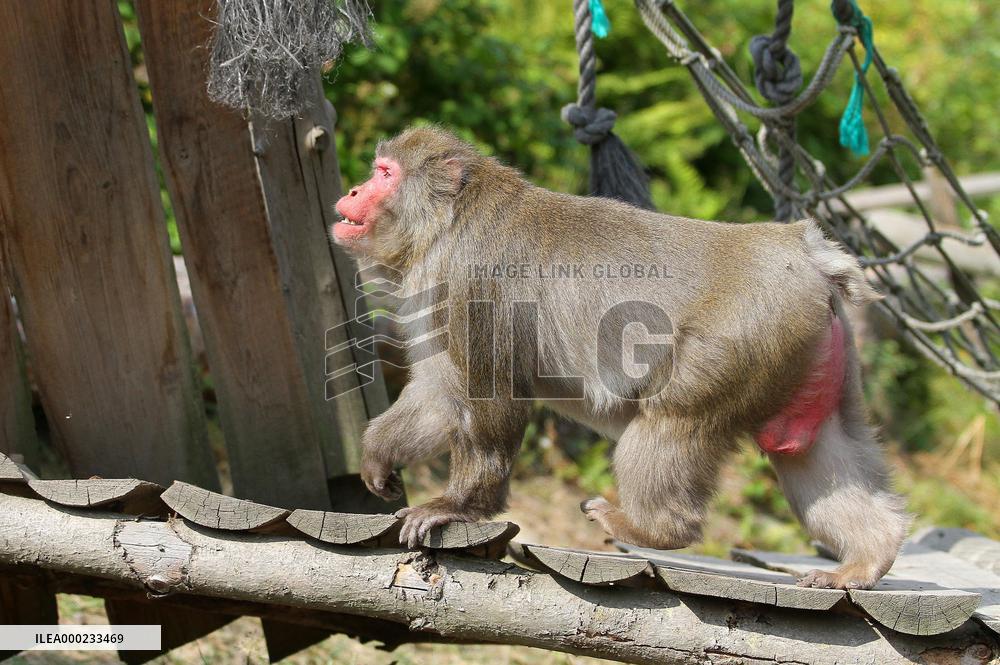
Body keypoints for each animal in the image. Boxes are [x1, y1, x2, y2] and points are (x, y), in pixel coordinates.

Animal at [331, 125, 908, 590]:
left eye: (384, 174)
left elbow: (491, 396)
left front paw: (458, 508)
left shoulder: (466, 280)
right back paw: (868, 559)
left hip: (748, 330)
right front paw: (378, 454)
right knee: (813, 448)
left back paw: (653, 527)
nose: (354, 190)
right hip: (807, 352)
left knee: (674, 419)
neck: (447, 223)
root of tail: (804, 249)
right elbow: (439, 396)